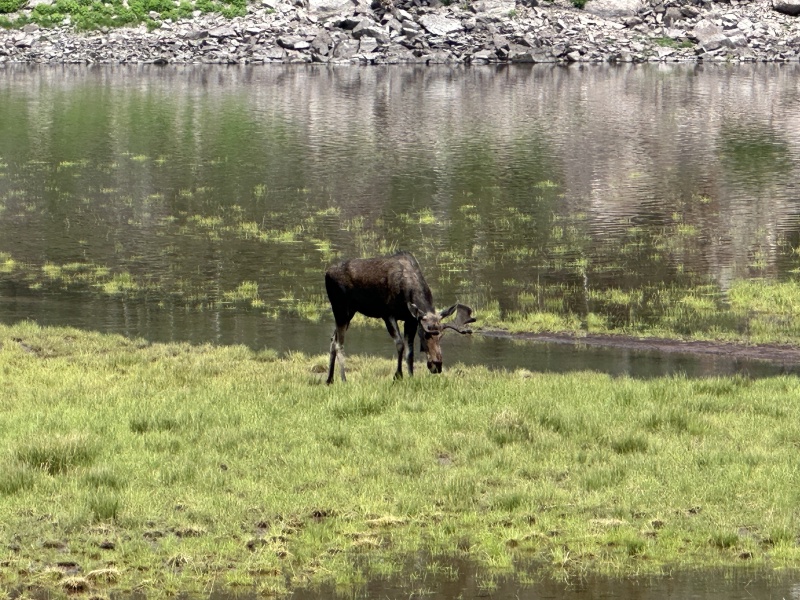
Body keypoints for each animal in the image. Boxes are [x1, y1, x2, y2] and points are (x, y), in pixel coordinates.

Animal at [324, 251, 476, 384]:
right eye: (425, 334)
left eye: (442, 335)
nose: (437, 365)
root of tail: (326, 273)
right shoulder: (388, 315)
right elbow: (400, 344)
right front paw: (398, 376)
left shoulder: (411, 319)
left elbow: (410, 352)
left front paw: (411, 376)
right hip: (340, 308)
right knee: (339, 343)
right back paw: (343, 379)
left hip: (350, 312)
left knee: (332, 339)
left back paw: (329, 379)